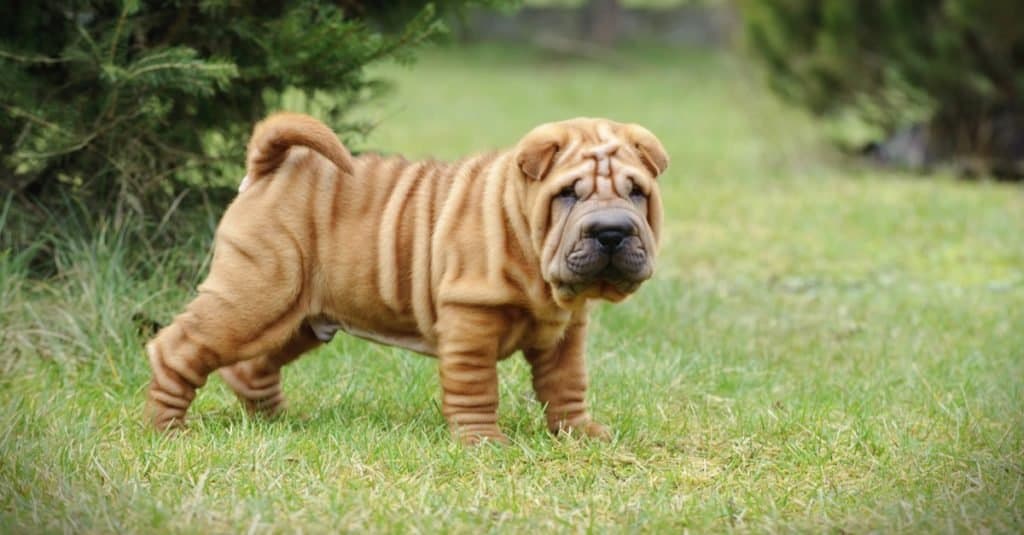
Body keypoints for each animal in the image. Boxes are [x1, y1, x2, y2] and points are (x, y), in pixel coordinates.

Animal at [146, 111, 671, 440]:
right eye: (568, 195)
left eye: (636, 192)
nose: (611, 232)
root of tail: (268, 169)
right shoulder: (470, 320)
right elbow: (476, 387)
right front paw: (483, 442)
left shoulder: (566, 332)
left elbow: (566, 385)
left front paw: (581, 434)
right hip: (255, 292)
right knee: (179, 348)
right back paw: (167, 430)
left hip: (298, 316)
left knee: (251, 366)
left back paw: (275, 422)